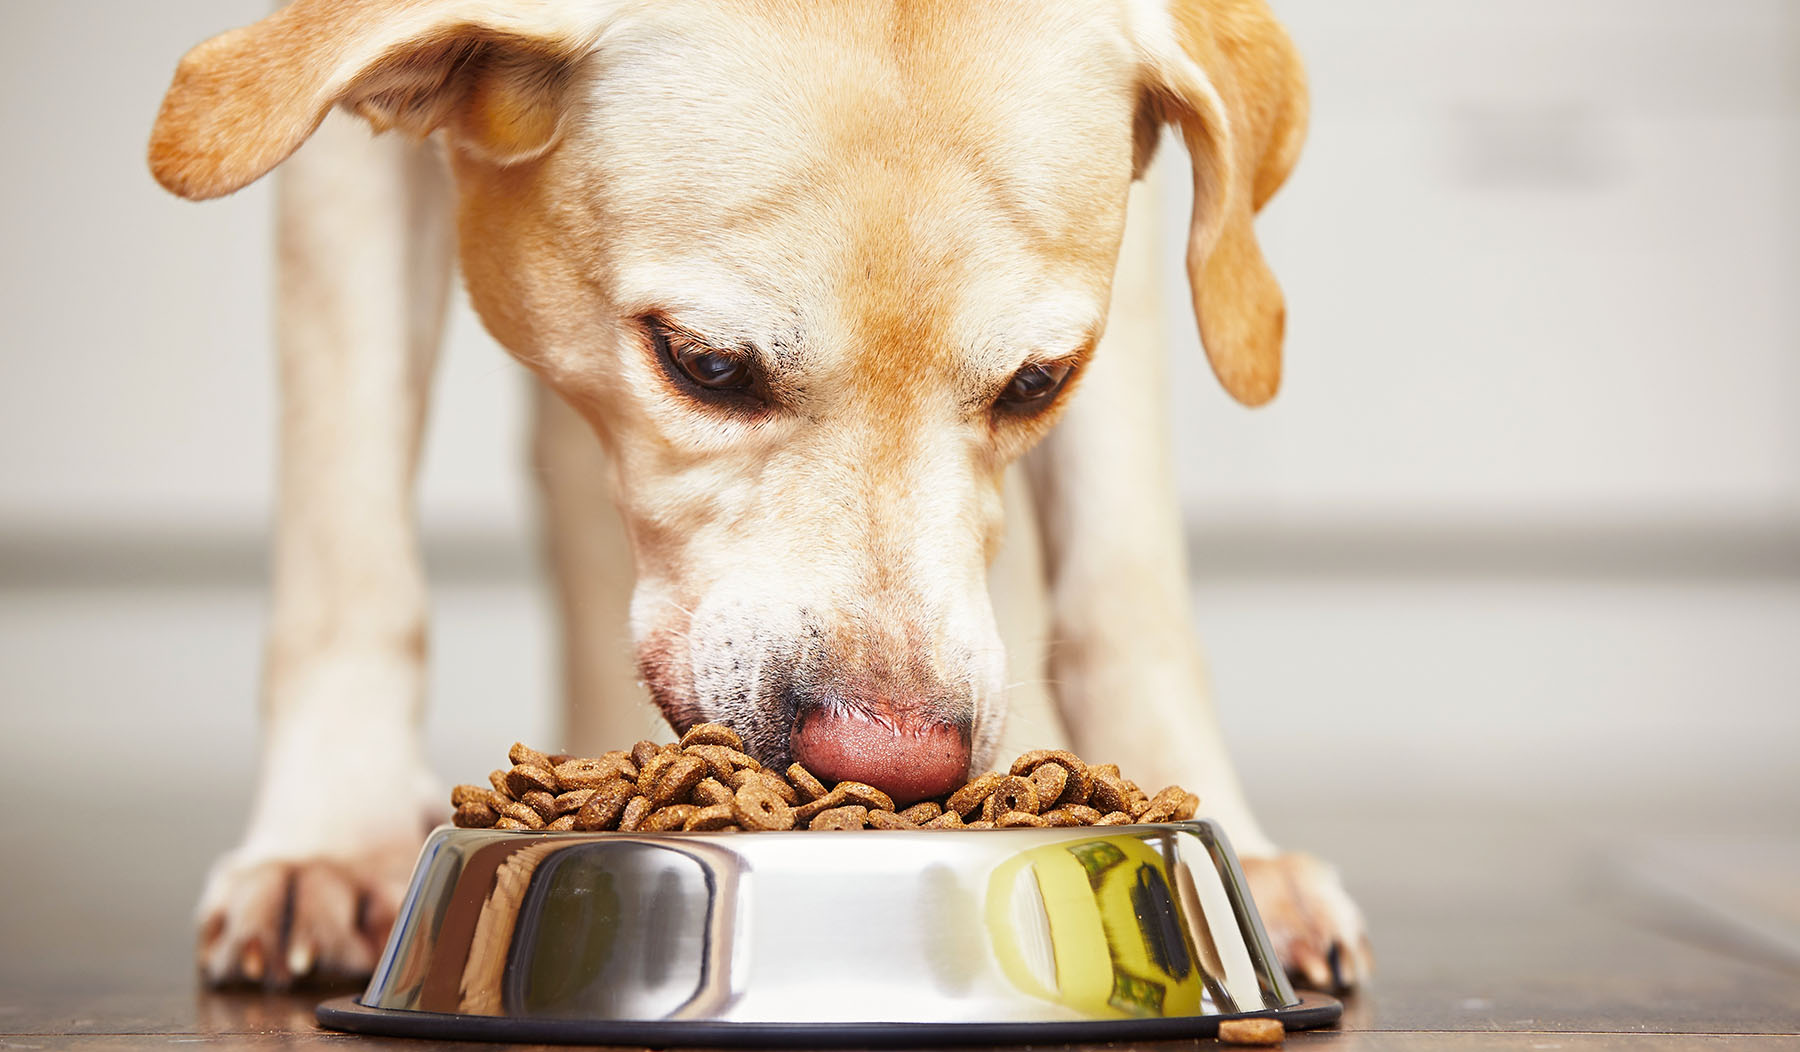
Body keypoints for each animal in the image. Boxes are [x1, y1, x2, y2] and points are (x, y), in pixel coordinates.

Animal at [154, 0, 1368, 994]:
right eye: (705, 365)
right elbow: (348, 533)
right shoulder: (337, 182)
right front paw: (332, 837)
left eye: (1037, 383)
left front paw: (1224, 834)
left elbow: (1128, 578)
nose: (891, 760)